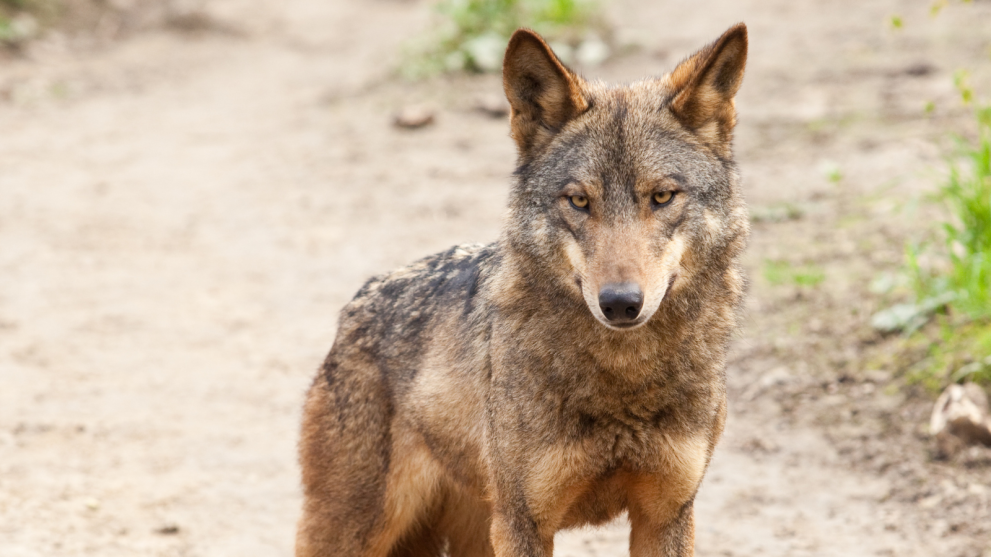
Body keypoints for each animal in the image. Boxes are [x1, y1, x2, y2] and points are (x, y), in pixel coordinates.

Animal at [298, 23, 748, 556]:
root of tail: (357, 302)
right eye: (578, 201)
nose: (620, 303)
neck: (622, 377)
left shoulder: (667, 516)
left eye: (662, 197)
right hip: (358, 531)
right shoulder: (522, 522)